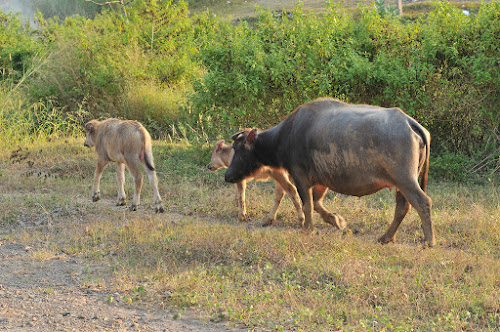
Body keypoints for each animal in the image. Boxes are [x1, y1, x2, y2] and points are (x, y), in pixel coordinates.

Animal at [227, 98, 434, 246]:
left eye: (237, 149)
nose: (228, 176)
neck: (287, 135)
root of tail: (410, 123)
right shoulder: (321, 181)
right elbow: (317, 203)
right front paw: (337, 221)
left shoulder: (300, 177)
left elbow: (307, 205)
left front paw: (308, 228)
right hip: (401, 182)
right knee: (402, 207)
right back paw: (386, 237)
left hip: (405, 179)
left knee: (422, 202)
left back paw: (429, 240)